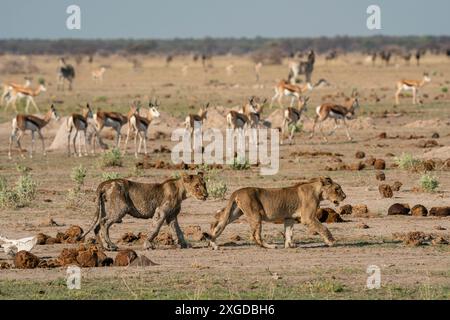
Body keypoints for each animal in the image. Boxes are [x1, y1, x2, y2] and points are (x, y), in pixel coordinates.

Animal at [78, 171, 208, 251]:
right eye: (197, 186)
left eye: (204, 184)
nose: (206, 195)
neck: (181, 191)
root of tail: (104, 183)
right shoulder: (161, 211)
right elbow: (155, 229)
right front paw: (147, 244)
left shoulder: (172, 216)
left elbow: (178, 231)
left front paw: (185, 244)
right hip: (121, 209)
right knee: (104, 223)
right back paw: (111, 245)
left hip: (106, 209)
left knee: (97, 226)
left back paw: (105, 247)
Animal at [204, 178, 348, 250]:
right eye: (337, 189)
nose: (345, 196)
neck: (318, 191)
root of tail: (237, 191)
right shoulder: (308, 217)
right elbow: (323, 228)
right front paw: (331, 241)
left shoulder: (289, 217)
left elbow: (289, 232)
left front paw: (289, 245)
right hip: (255, 215)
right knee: (255, 236)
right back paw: (270, 246)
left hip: (234, 213)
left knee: (218, 225)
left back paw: (214, 244)